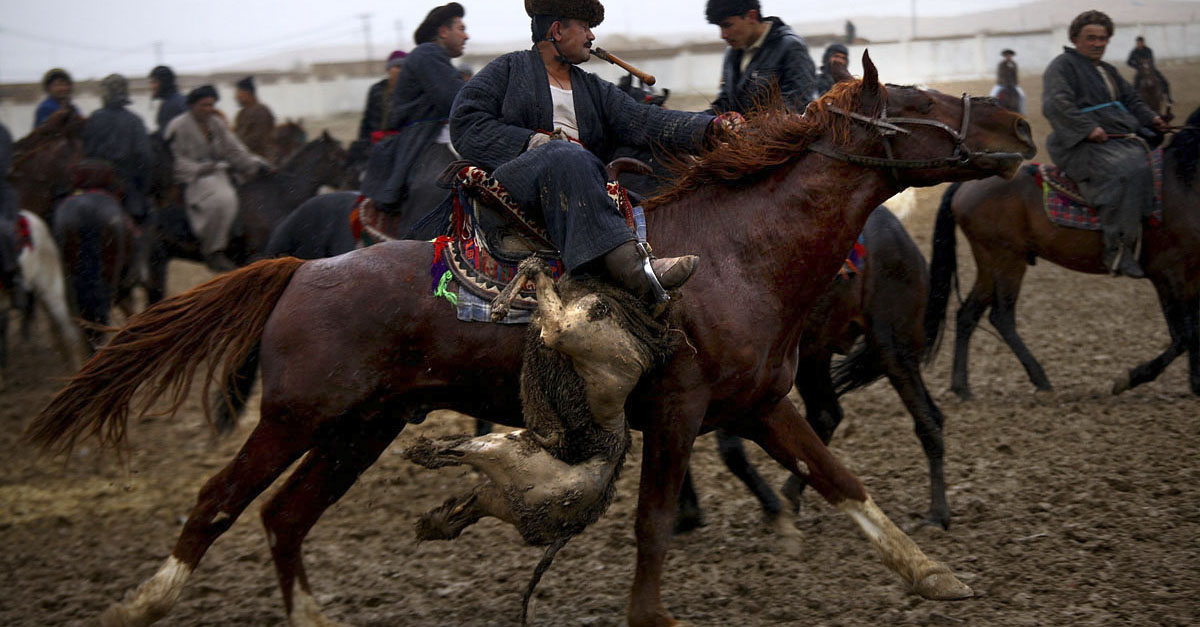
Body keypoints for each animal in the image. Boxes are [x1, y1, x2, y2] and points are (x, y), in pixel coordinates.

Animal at [23, 54, 1036, 624]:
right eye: (915, 100)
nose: (1018, 123)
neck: (736, 252)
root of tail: (300, 271)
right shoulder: (679, 411)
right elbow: (654, 523)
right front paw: (650, 616)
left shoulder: (761, 403)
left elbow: (840, 479)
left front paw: (935, 575)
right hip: (295, 418)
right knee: (218, 504)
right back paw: (141, 601)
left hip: (361, 429)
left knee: (283, 517)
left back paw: (309, 619)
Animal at [926, 105, 1200, 398]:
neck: (1181, 182)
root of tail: (965, 185)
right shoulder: (1167, 274)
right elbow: (1183, 335)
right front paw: (1130, 378)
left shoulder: (1191, 275)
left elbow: (1192, 330)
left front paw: (1195, 384)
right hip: (1008, 259)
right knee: (1001, 317)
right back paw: (1040, 379)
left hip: (990, 263)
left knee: (967, 314)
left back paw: (961, 386)